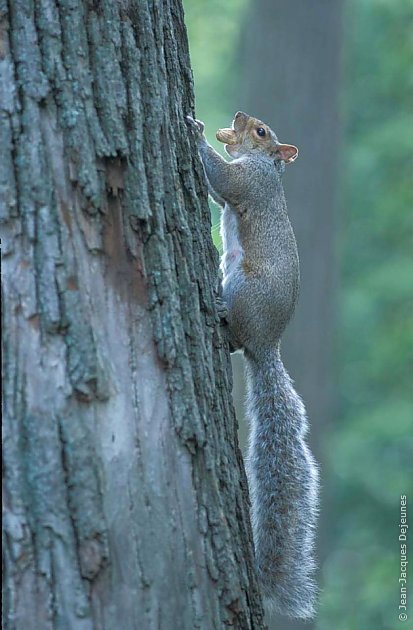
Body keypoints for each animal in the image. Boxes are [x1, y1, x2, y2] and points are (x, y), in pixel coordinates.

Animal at [186, 111, 318, 620]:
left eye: (262, 132)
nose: (240, 117)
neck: (267, 166)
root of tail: (266, 344)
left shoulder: (249, 183)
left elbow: (223, 179)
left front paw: (194, 130)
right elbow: (217, 189)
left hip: (244, 290)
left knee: (234, 339)